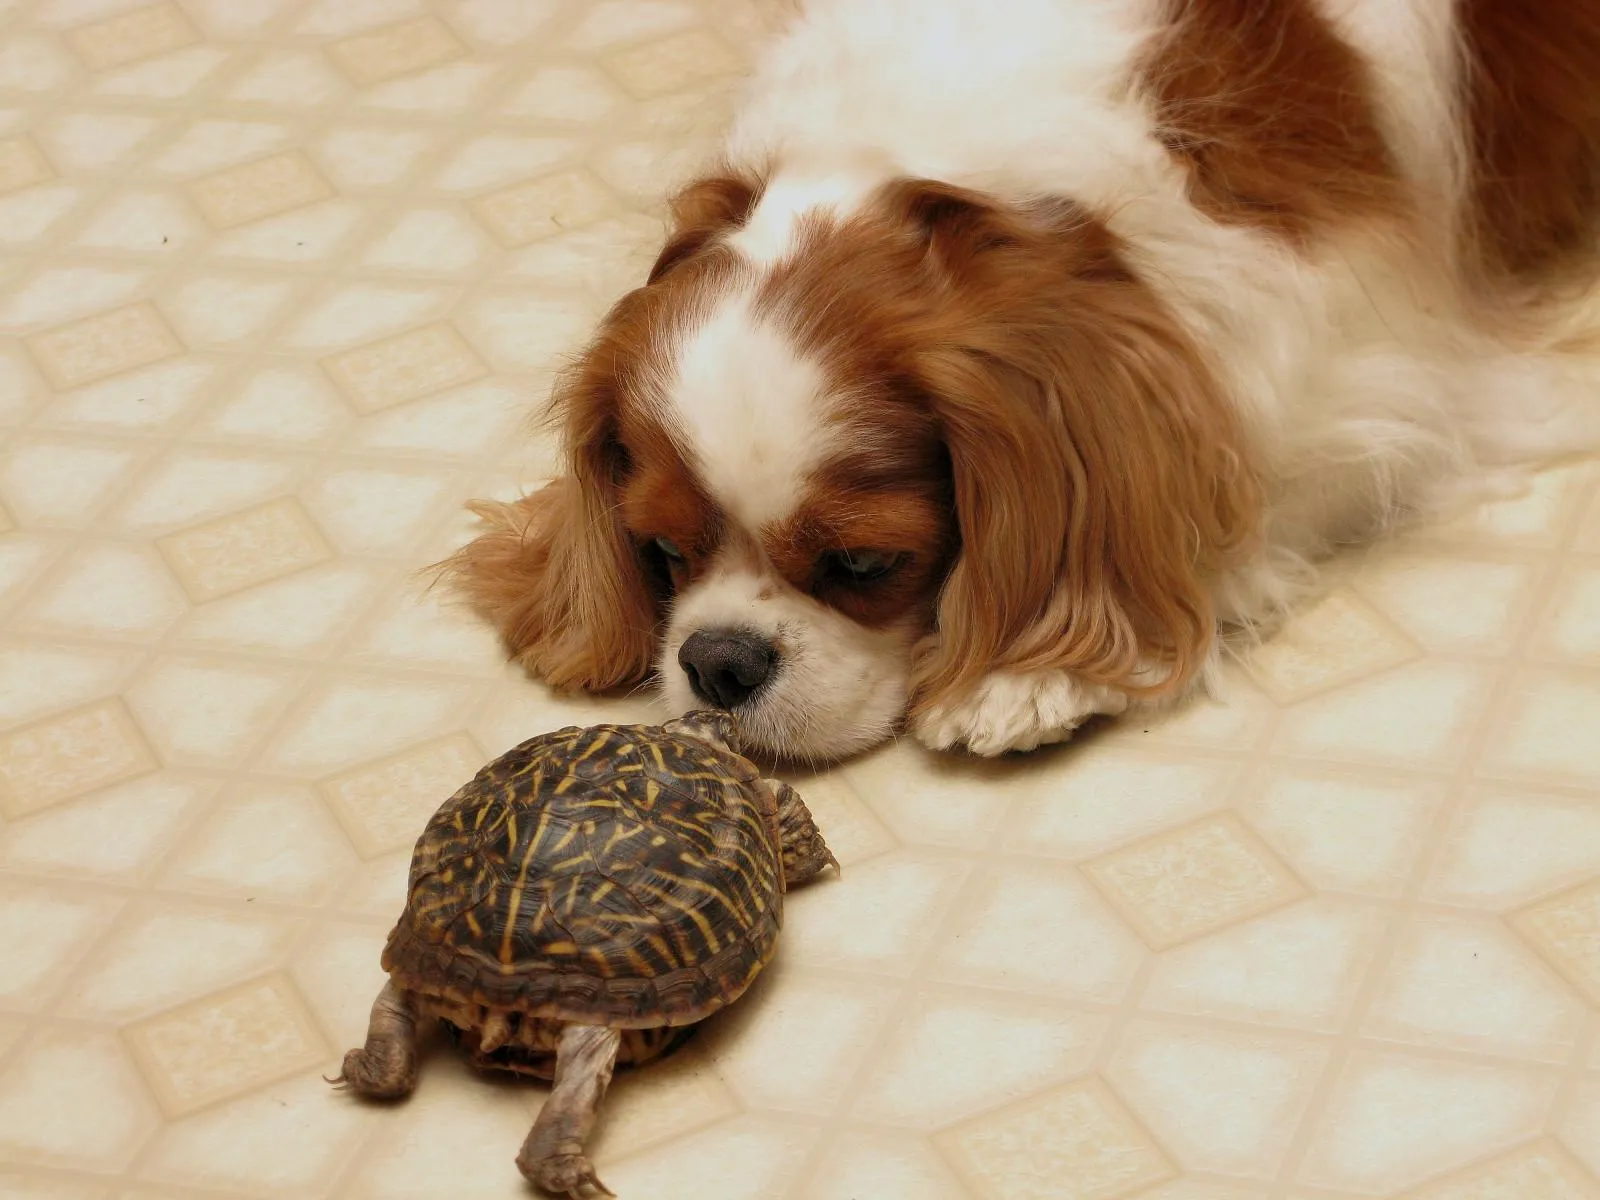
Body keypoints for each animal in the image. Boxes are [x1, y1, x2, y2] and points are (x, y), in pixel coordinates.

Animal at [444, 0, 1600, 761]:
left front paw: (1030, 670)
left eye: (865, 565)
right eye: (662, 549)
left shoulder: (1400, 383)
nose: (718, 664)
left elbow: (1234, 501)